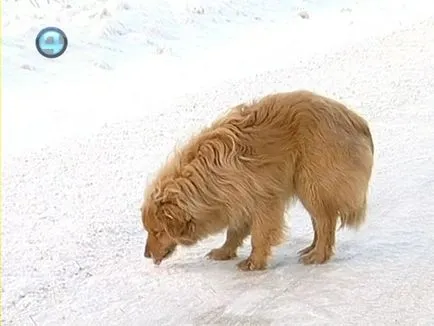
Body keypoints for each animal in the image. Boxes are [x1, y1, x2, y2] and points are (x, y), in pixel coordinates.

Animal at [141, 89, 374, 270]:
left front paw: (254, 262)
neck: (204, 179)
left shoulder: (263, 200)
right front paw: (224, 251)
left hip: (311, 184)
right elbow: (234, 232)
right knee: (319, 221)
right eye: (150, 231)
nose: (146, 255)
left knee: (325, 221)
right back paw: (311, 247)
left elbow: (259, 235)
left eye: (157, 231)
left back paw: (318, 255)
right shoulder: (237, 201)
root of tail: (357, 120)